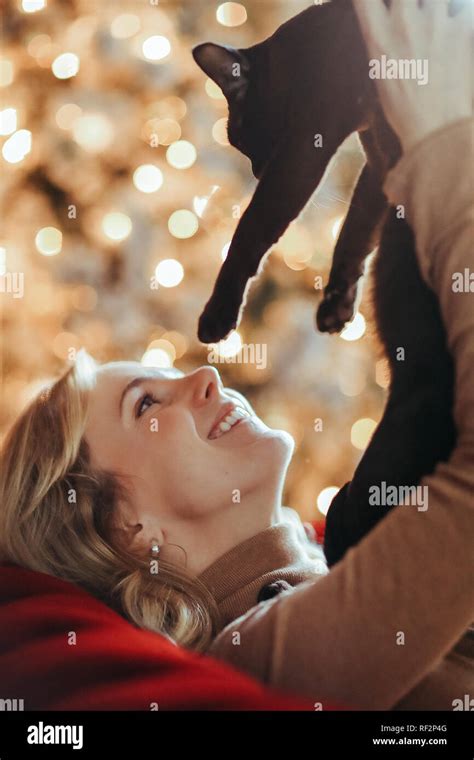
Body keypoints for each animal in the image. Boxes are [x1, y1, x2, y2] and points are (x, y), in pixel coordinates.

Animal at [192, 0, 456, 564]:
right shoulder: (374, 158)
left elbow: (251, 232)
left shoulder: (306, 144)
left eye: (241, 137)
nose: (252, 168)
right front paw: (336, 305)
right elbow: (355, 232)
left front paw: (217, 317)